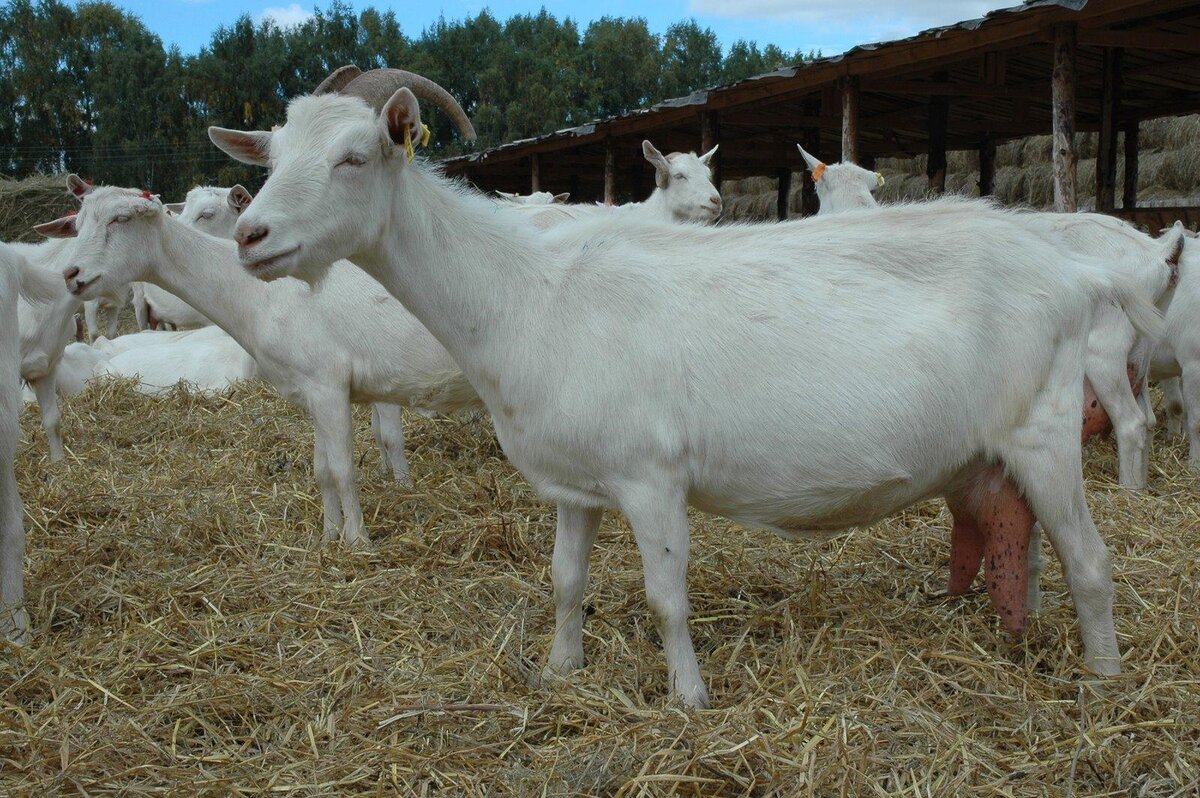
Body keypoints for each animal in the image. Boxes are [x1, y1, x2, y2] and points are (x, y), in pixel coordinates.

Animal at [211, 68, 1166, 705]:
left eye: (356, 156)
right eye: (274, 155)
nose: (252, 236)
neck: (530, 294)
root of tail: (1077, 272)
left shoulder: (651, 477)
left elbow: (666, 598)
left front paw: (690, 700)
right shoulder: (575, 484)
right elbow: (564, 579)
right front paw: (562, 668)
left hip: (1046, 427)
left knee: (1091, 560)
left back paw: (1105, 674)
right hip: (1006, 448)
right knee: (1030, 545)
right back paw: (1024, 636)